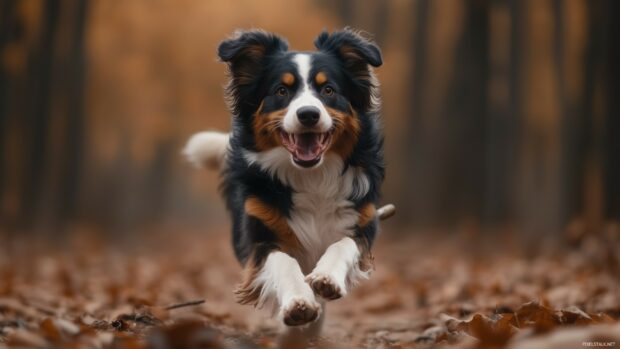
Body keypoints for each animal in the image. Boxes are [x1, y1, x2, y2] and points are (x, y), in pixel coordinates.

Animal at [184, 29, 386, 332]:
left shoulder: (363, 221)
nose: (308, 114)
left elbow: (343, 244)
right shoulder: (259, 239)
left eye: (328, 90)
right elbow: (284, 261)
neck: (312, 176)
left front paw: (326, 278)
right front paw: (298, 303)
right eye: (282, 91)